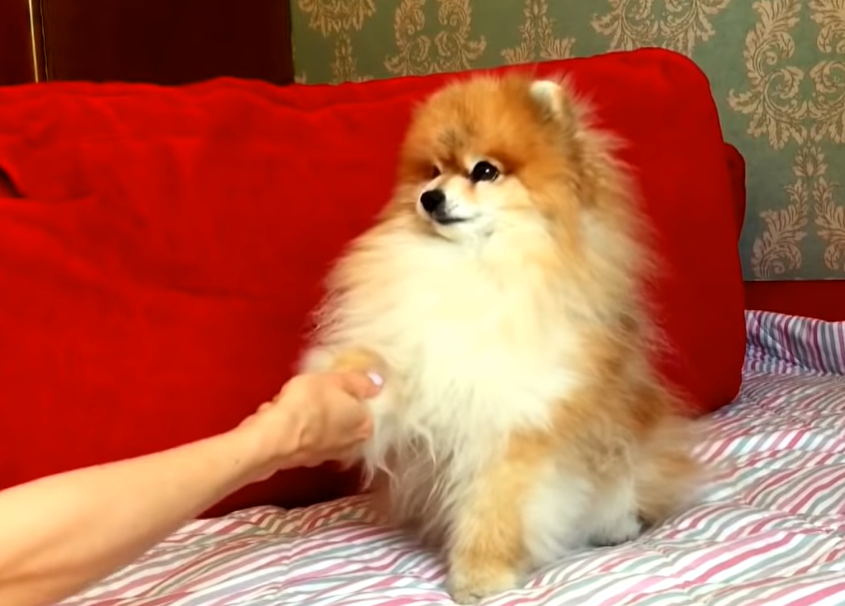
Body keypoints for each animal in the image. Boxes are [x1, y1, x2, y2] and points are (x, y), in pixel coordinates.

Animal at [299, 73, 702, 604]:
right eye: (432, 172)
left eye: (484, 171)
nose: (429, 197)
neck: (476, 266)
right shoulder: (420, 354)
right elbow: (380, 368)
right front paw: (330, 385)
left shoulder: (517, 424)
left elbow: (494, 509)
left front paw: (479, 575)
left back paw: (616, 525)